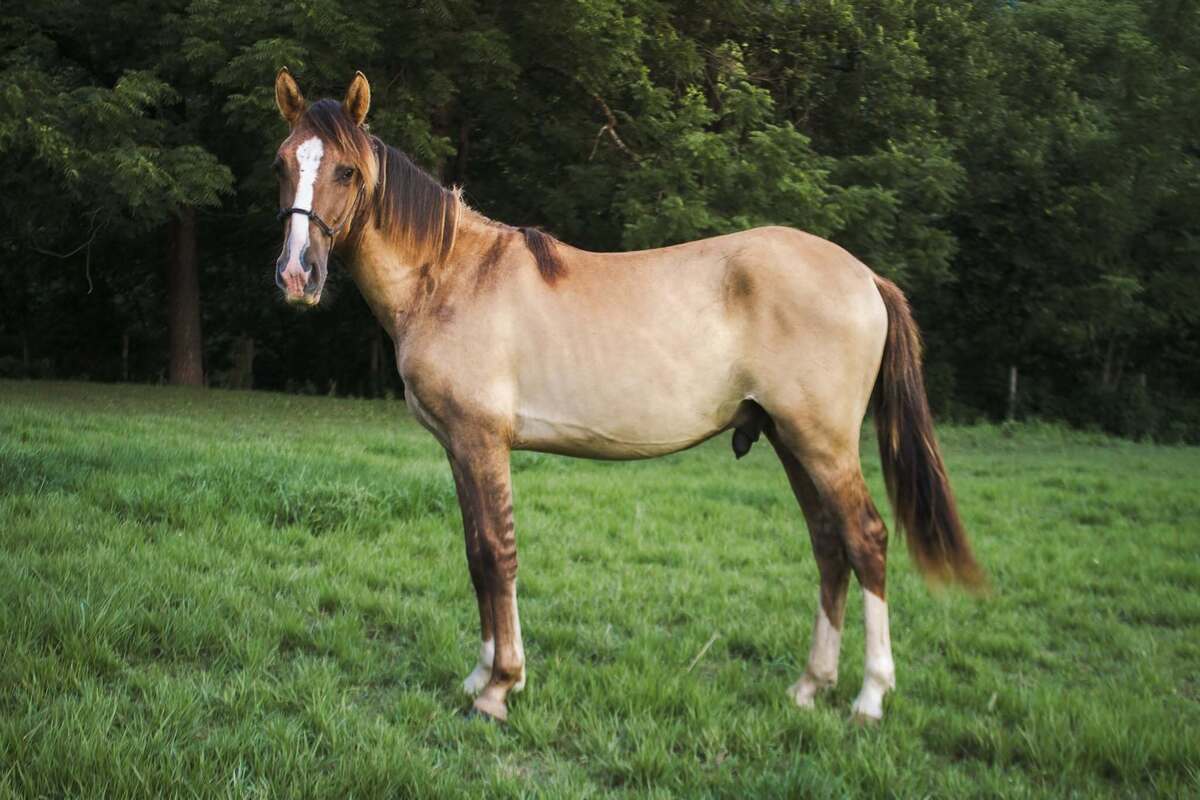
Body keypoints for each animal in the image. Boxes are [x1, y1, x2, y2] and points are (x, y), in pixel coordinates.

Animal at [270, 68, 984, 723]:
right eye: (282, 162)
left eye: (346, 171)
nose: (297, 276)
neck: (450, 277)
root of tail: (865, 276)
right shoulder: (458, 448)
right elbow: (476, 554)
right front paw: (478, 678)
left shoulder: (482, 441)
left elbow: (498, 554)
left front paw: (500, 688)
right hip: (792, 442)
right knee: (830, 546)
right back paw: (810, 687)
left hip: (824, 444)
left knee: (866, 540)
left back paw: (870, 697)